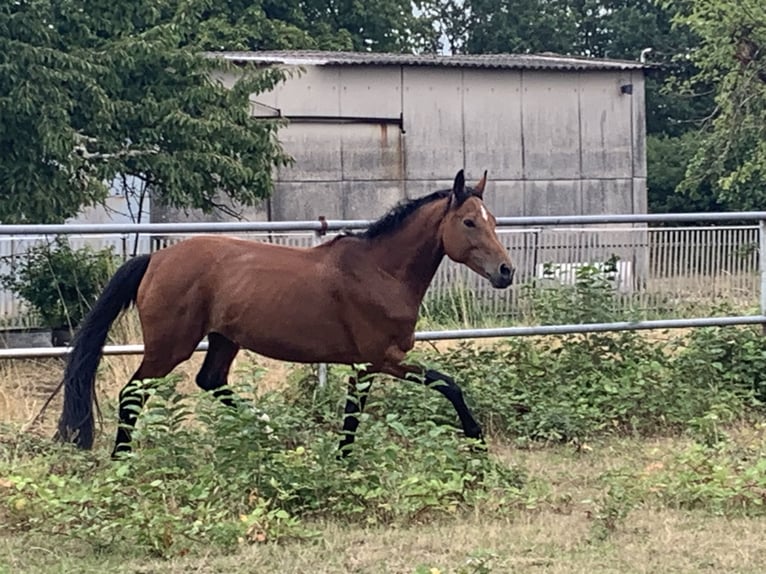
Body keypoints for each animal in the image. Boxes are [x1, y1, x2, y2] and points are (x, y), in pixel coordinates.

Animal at [54, 170, 516, 460]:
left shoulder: (364, 365)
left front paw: (342, 462)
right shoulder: (381, 359)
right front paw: (477, 441)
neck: (380, 271)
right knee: (132, 393)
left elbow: (353, 415)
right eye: (469, 222)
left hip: (224, 340)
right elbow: (446, 385)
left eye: (493, 220)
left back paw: (270, 433)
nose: (505, 272)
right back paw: (121, 459)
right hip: (170, 347)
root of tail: (155, 259)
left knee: (211, 381)